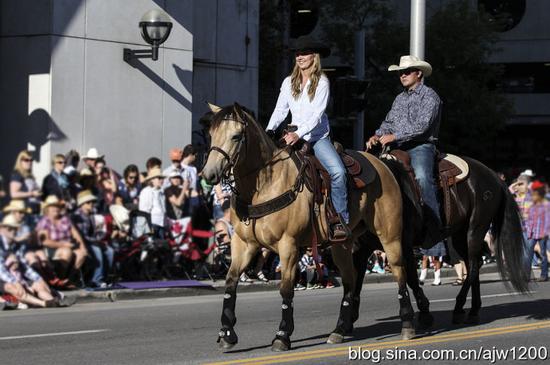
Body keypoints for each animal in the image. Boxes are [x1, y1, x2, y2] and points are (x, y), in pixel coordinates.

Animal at [201, 103, 424, 350]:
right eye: (211, 134)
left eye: (236, 136)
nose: (209, 174)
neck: (265, 185)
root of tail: (383, 163)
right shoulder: (244, 244)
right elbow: (231, 282)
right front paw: (226, 333)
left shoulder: (288, 245)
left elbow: (286, 288)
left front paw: (282, 335)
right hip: (343, 244)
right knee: (350, 280)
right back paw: (339, 330)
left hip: (389, 236)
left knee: (399, 271)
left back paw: (407, 324)